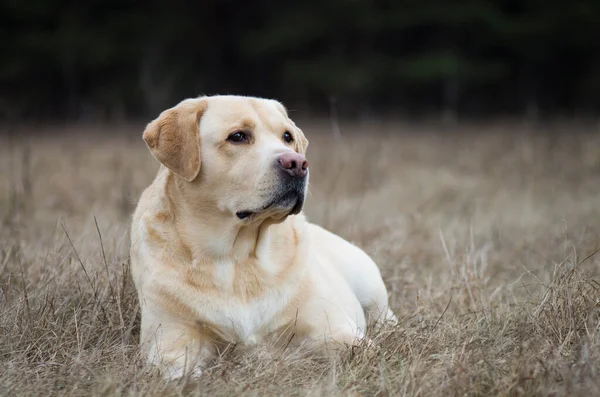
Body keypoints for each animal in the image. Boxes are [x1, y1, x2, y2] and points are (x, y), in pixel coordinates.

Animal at [129, 95, 396, 378]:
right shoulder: (170, 342)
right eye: (238, 136)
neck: (238, 258)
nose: (297, 163)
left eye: (287, 136)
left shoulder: (334, 329)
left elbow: (362, 350)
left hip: (369, 284)